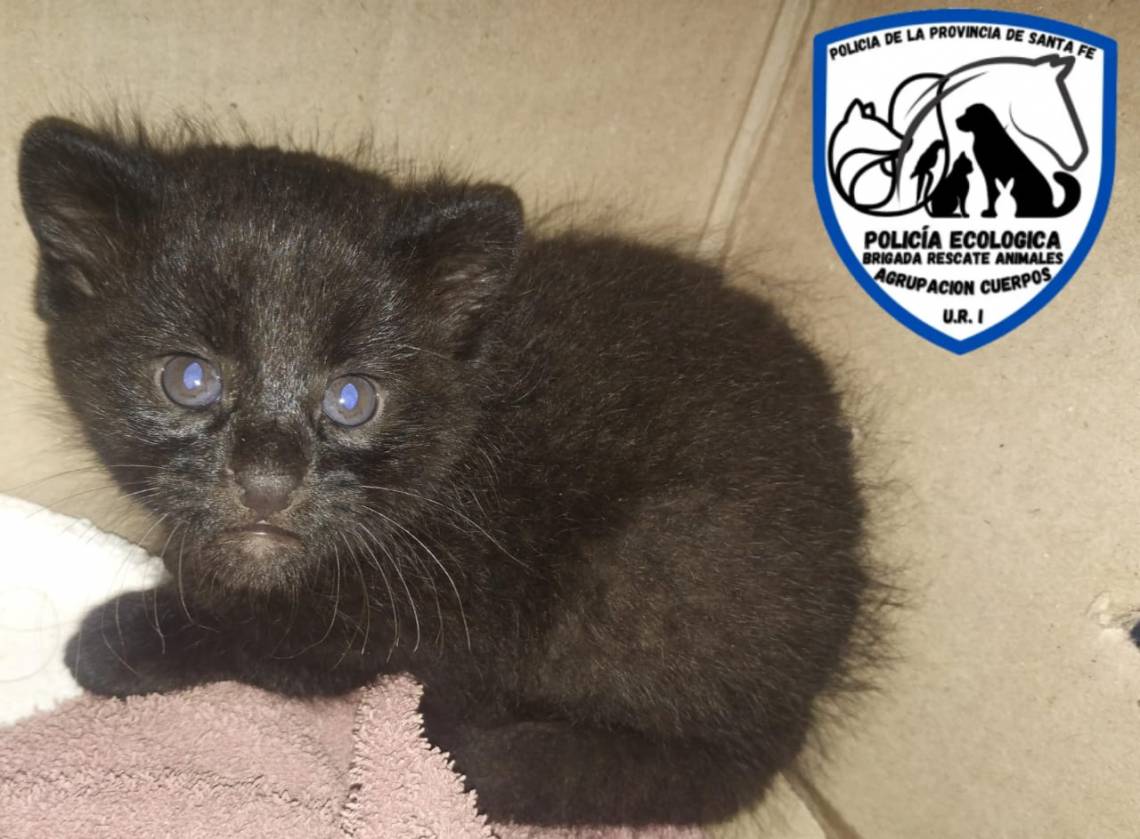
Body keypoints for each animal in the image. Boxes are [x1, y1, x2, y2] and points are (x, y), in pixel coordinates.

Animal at [17, 116, 875, 825]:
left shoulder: (431, 600)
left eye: (353, 398)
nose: (267, 479)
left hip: (657, 561)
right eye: (189, 379)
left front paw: (122, 639)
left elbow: (277, 632)